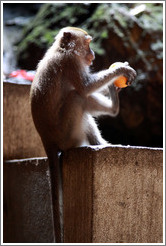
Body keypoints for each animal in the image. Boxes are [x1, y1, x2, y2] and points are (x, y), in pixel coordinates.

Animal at [29, 26, 136, 242]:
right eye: (88, 43)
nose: (93, 53)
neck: (61, 50)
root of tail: (46, 141)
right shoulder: (70, 63)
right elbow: (85, 87)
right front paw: (119, 71)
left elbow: (87, 89)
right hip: (68, 134)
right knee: (77, 97)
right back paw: (111, 112)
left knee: (81, 98)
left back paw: (103, 137)